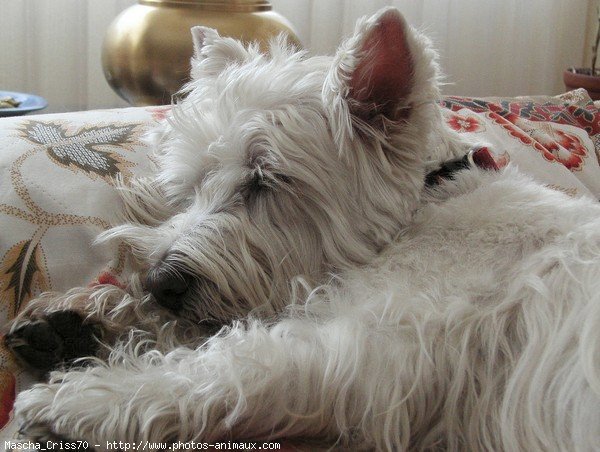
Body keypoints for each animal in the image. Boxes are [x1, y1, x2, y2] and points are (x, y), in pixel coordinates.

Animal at [5, 7, 600, 452]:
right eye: (192, 181)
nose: (159, 282)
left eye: (265, 179)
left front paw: (76, 400)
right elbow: (206, 331)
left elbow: (223, 365)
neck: (429, 199)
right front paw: (78, 319)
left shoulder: (368, 349)